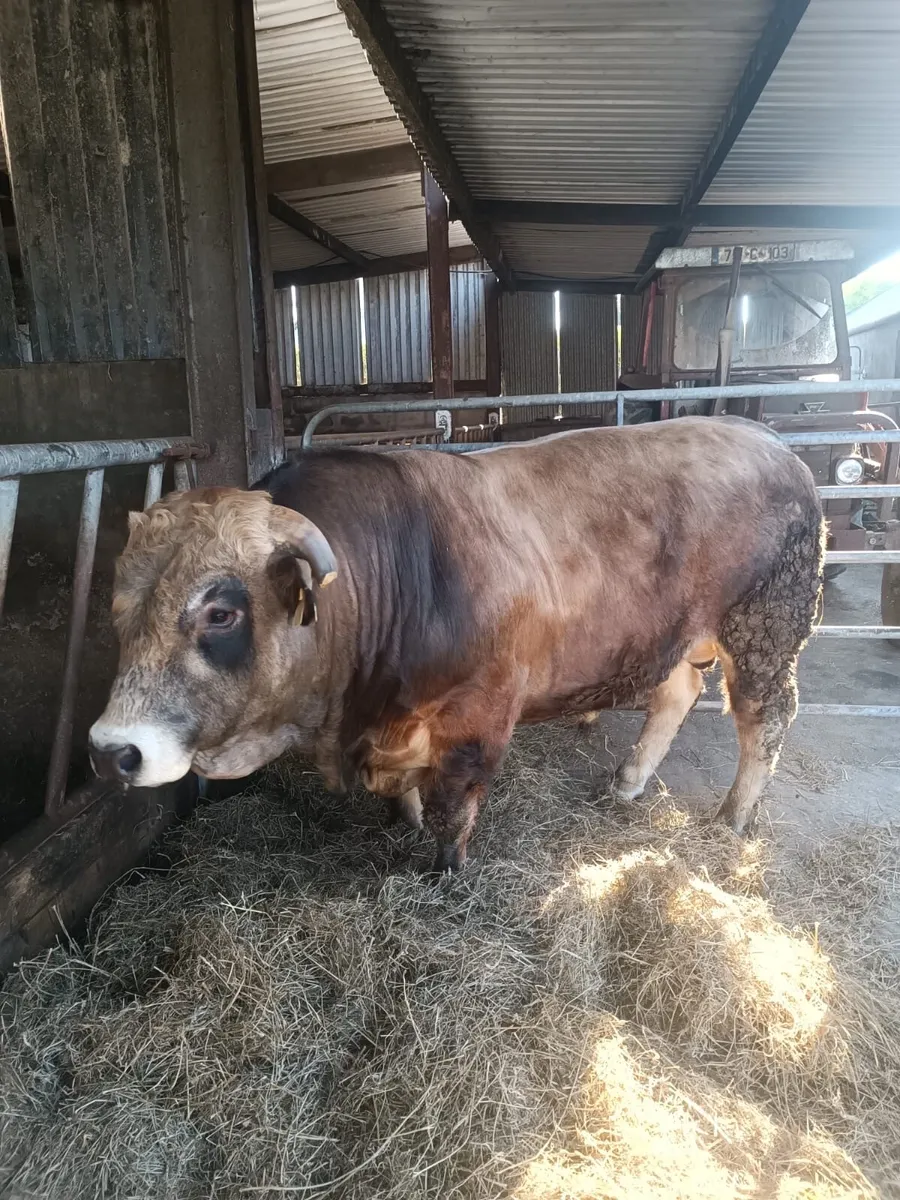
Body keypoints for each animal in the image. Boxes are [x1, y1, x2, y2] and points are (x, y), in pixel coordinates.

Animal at [89, 418, 824, 873]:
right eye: (117, 606)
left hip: (767, 623)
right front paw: (404, 823)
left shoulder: (477, 714)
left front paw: (443, 871)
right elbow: (406, 795)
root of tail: (766, 439)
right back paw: (628, 782)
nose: (111, 751)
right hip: (672, 633)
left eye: (220, 612)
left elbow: (453, 804)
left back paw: (733, 817)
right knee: (678, 691)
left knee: (765, 718)